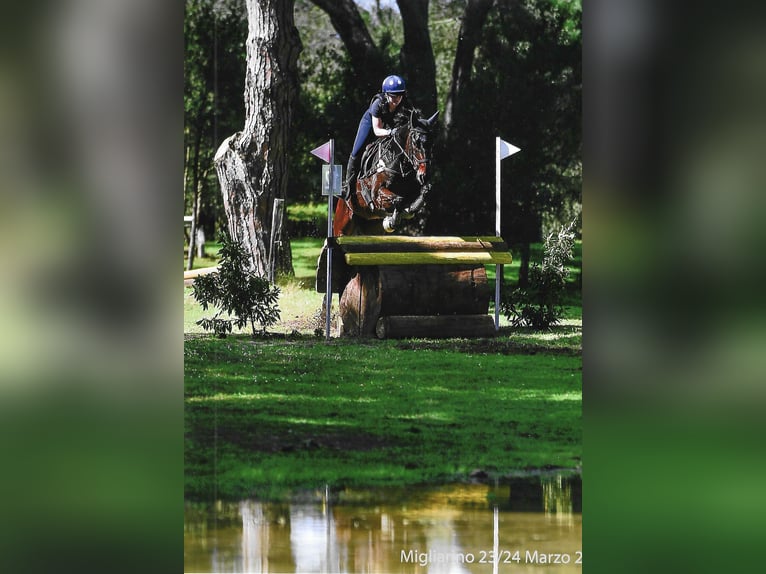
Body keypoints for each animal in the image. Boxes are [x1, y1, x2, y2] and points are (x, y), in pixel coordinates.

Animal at [334, 108, 440, 236]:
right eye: (416, 142)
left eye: (432, 143)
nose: (424, 175)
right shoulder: (376, 193)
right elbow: (398, 199)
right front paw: (393, 220)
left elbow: (426, 190)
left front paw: (411, 208)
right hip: (342, 224)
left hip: (370, 227)